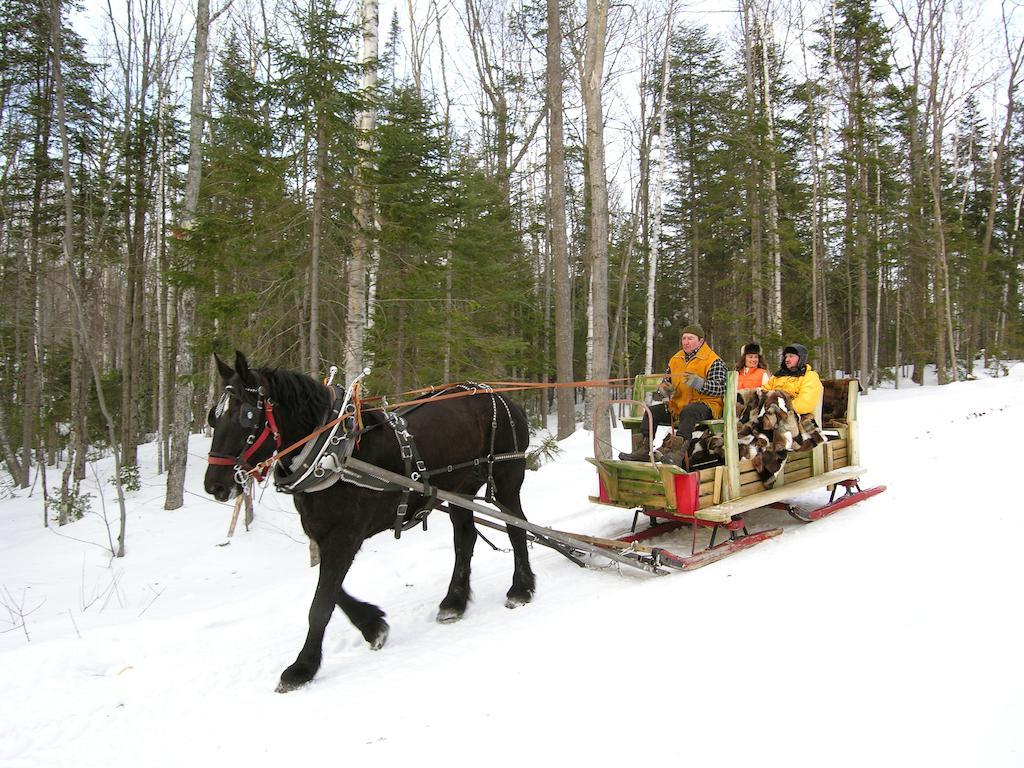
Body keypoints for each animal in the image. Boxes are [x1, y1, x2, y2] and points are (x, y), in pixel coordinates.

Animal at [201, 352, 536, 696]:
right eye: (214, 417)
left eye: (245, 416)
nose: (214, 485)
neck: (331, 453)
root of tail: (501, 396)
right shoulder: (323, 534)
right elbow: (332, 592)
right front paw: (373, 625)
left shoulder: (345, 536)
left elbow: (320, 605)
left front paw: (301, 669)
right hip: (461, 489)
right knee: (465, 539)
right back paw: (454, 602)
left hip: (507, 477)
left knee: (517, 528)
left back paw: (520, 588)